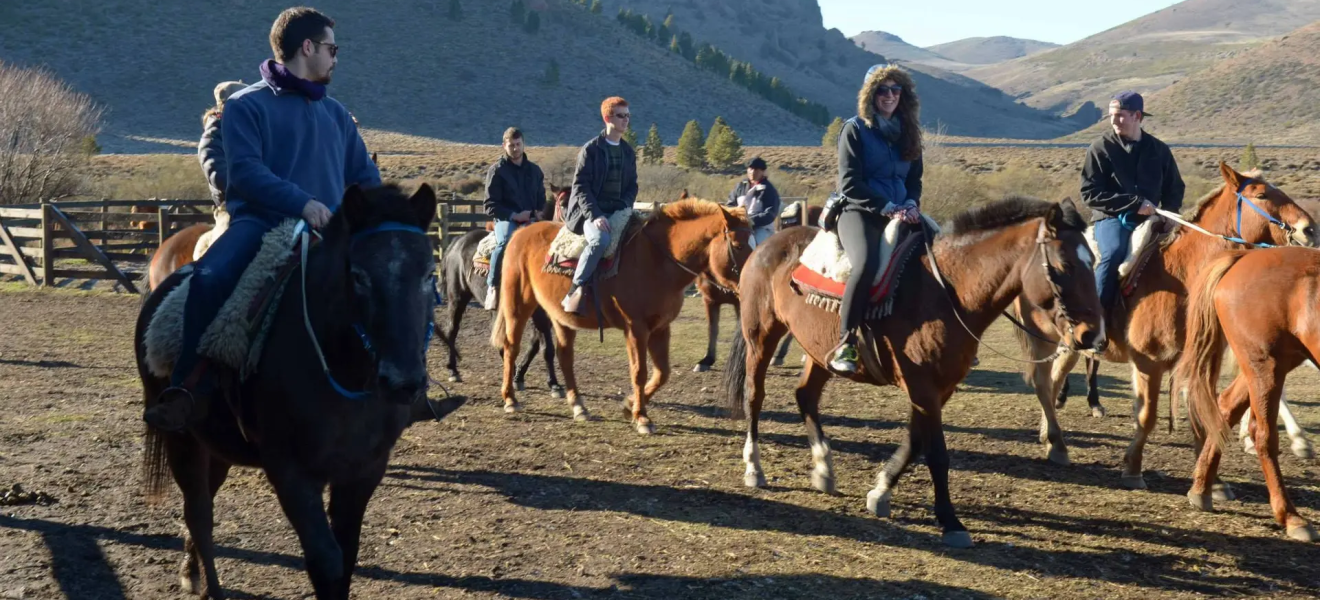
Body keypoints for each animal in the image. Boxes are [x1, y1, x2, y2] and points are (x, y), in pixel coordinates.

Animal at [137, 185, 469, 598]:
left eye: (428, 274)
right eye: (358, 276)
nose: (403, 382)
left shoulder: (363, 471)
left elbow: (347, 557)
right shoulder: (291, 473)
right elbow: (326, 561)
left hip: (216, 445)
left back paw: (193, 570)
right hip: (181, 439)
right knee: (198, 512)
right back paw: (209, 586)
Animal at [491, 199, 755, 435]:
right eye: (738, 245)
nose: (751, 279)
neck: (657, 260)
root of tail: (521, 233)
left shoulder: (661, 328)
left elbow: (662, 373)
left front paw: (629, 406)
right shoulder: (635, 328)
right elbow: (639, 372)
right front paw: (642, 418)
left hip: (562, 318)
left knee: (564, 357)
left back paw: (578, 406)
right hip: (518, 304)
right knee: (511, 347)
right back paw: (510, 399)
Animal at [723, 199, 1103, 548]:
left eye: (1094, 261)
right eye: (1065, 265)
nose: (1092, 335)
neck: (947, 290)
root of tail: (767, 244)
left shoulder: (939, 388)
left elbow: (915, 440)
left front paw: (880, 491)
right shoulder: (923, 387)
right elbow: (936, 452)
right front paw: (950, 521)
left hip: (818, 351)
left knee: (806, 396)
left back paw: (823, 467)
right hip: (761, 337)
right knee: (755, 396)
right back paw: (754, 467)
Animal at [1008, 162, 1309, 482]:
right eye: (1262, 194)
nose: (1308, 228)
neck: (1183, 276)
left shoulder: (1198, 361)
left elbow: (1202, 413)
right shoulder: (1148, 362)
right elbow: (1147, 416)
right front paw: (1133, 468)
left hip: (1070, 346)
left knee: (1054, 380)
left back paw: (1049, 435)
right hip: (1048, 339)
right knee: (1046, 382)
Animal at [1177, 249, 1320, 545]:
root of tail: (1245, 255)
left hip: (1272, 362)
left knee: (1226, 407)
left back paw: (1202, 488)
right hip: (1264, 364)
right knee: (1263, 434)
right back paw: (1290, 516)